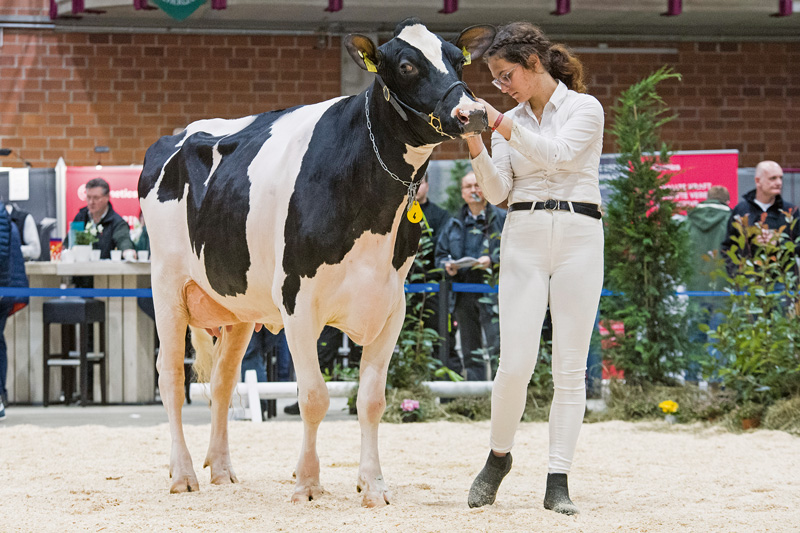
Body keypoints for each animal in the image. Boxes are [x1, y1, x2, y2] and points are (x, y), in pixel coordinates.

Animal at [141, 18, 496, 504]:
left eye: (459, 60)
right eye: (406, 64)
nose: (473, 113)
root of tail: (175, 135)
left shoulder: (392, 306)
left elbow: (371, 400)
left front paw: (373, 486)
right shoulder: (298, 301)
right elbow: (313, 396)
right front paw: (307, 483)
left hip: (239, 306)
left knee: (223, 383)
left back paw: (223, 471)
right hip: (167, 285)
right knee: (171, 380)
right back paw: (183, 474)